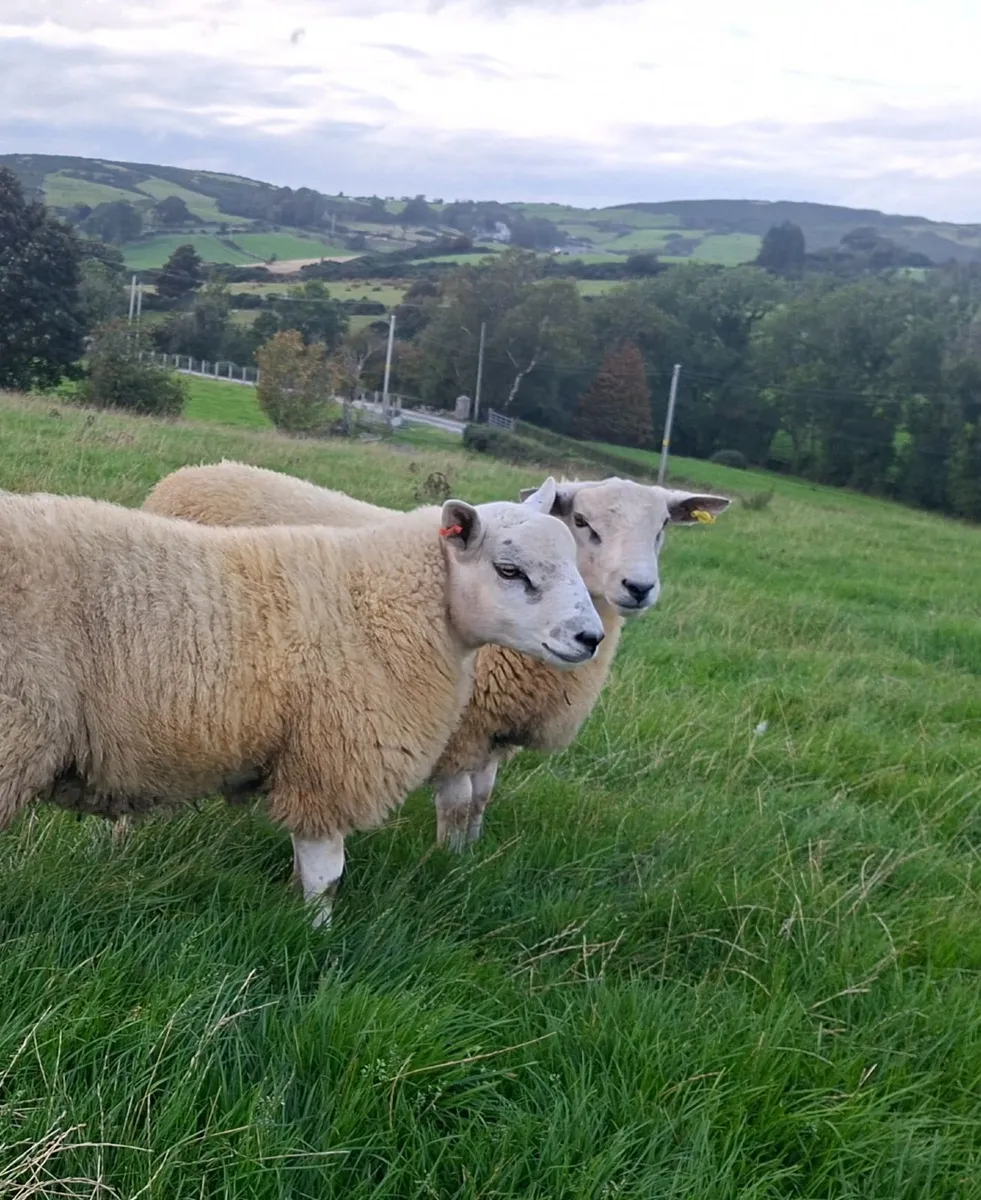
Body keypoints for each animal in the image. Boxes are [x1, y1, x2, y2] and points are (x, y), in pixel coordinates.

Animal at [0, 479, 605, 925]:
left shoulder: (309, 759)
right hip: (14, 731)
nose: (590, 637)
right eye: (510, 571)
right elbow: (326, 873)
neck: (380, 602)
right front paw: (319, 934)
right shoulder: (332, 760)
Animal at [143, 461, 731, 849]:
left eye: (662, 528)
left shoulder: (493, 734)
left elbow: (483, 798)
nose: (639, 587)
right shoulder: (458, 728)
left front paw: (472, 854)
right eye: (584, 522)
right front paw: (448, 859)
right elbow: (459, 802)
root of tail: (194, 471)